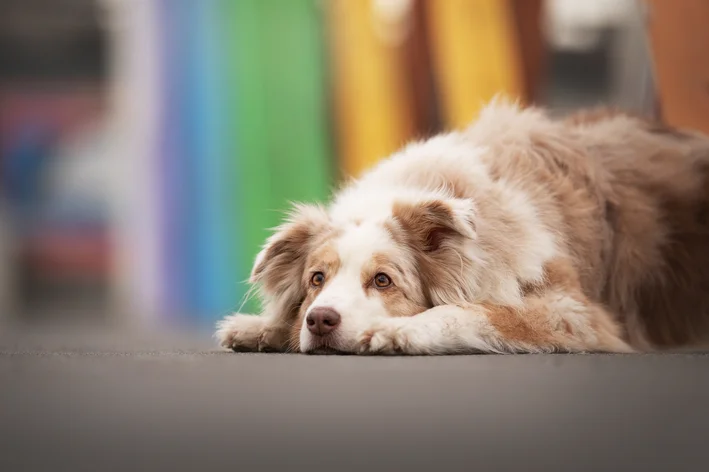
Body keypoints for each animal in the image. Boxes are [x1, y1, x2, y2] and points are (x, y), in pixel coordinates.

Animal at [214, 101, 708, 356]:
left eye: (383, 281)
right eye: (317, 279)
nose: (319, 320)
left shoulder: (574, 312)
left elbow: (479, 310)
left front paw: (401, 332)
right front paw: (261, 327)